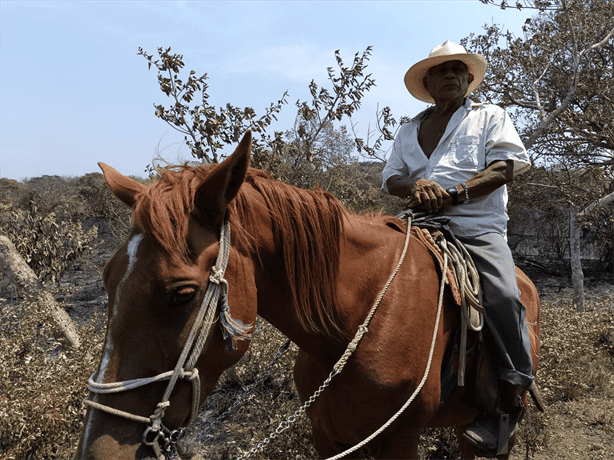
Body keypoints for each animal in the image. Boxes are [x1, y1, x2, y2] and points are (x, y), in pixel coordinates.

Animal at [74, 131, 540, 458]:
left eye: (182, 293)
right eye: (108, 280)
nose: (100, 450)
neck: (356, 322)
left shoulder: (400, 441)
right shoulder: (328, 435)